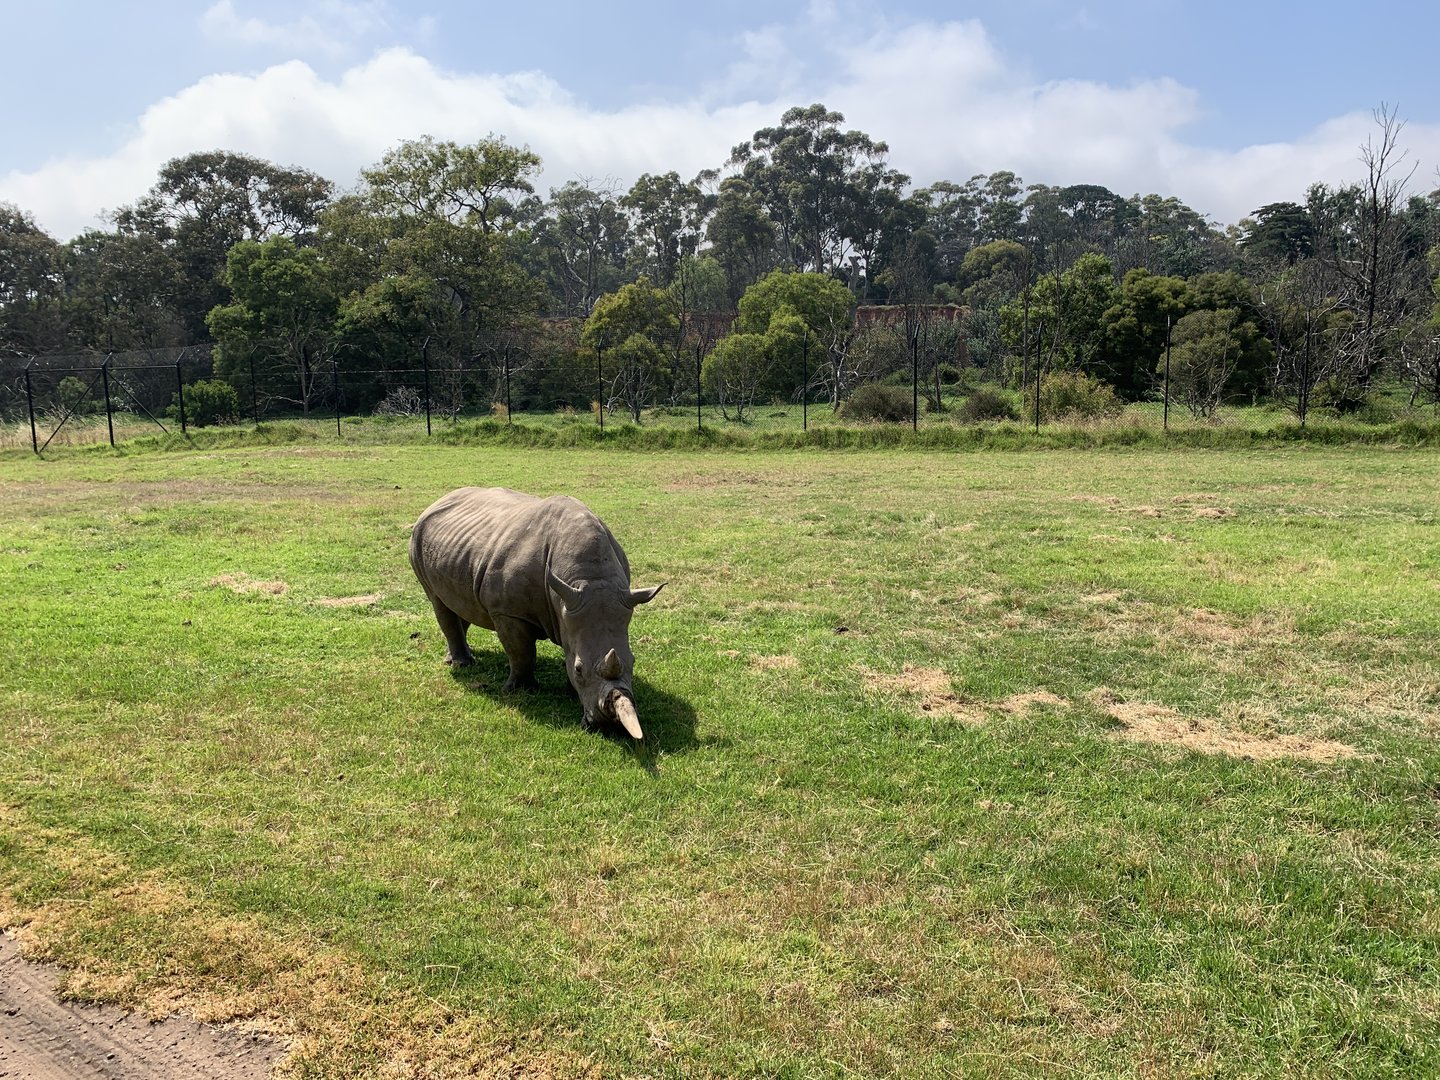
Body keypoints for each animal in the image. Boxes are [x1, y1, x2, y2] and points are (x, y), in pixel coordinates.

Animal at [409, 487, 664, 739]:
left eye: (633, 661)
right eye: (579, 669)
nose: (606, 726)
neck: (588, 579)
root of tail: (435, 502)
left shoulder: (574, 607)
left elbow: (568, 646)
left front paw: (570, 692)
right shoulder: (507, 612)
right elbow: (522, 652)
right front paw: (520, 690)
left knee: (459, 604)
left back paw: (455, 658)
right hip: (417, 541)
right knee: (439, 602)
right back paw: (463, 665)